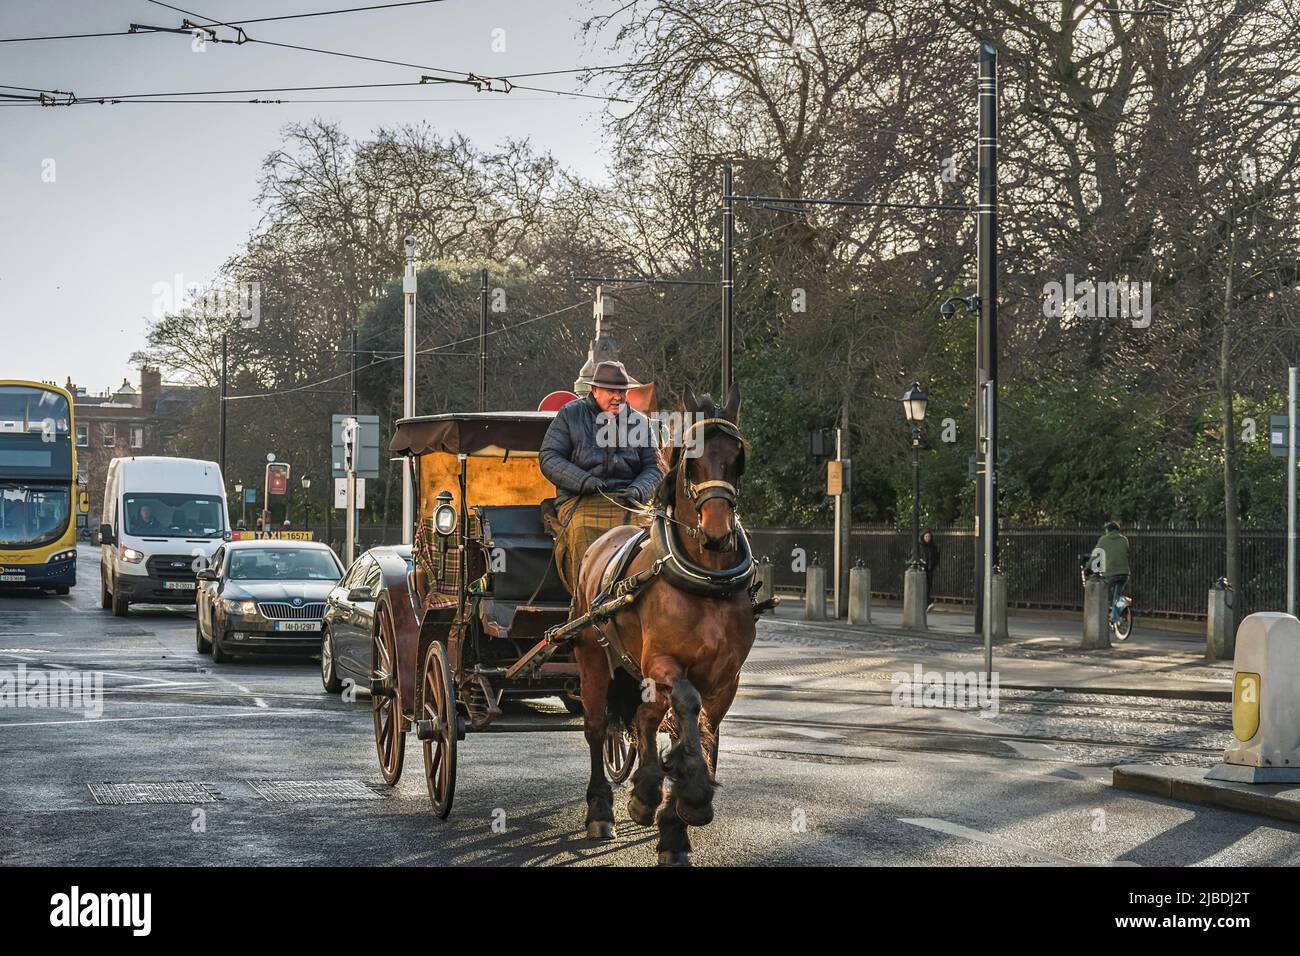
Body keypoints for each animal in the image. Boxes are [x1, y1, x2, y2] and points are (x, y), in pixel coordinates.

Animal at [569, 382, 754, 868]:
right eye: (690, 459)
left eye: (738, 456)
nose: (718, 532)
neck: (707, 580)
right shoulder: (663, 661)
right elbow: (687, 707)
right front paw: (690, 795)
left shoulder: (726, 678)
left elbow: (699, 732)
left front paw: (676, 822)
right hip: (593, 657)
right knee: (598, 727)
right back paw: (602, 809)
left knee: (645, 717)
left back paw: (646, 791)